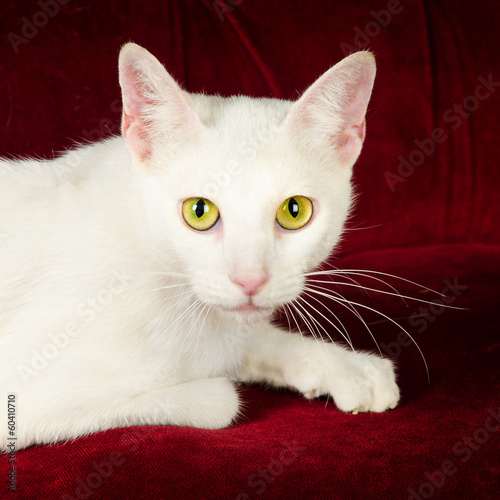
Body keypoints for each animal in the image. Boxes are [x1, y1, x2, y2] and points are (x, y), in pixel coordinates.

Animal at [0, 42, 398, 450]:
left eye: (294, 210)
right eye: (199, 211)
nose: (250, 280)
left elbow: (248, 338)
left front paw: (352, 369)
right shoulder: (24, 396)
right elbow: (221, 398)